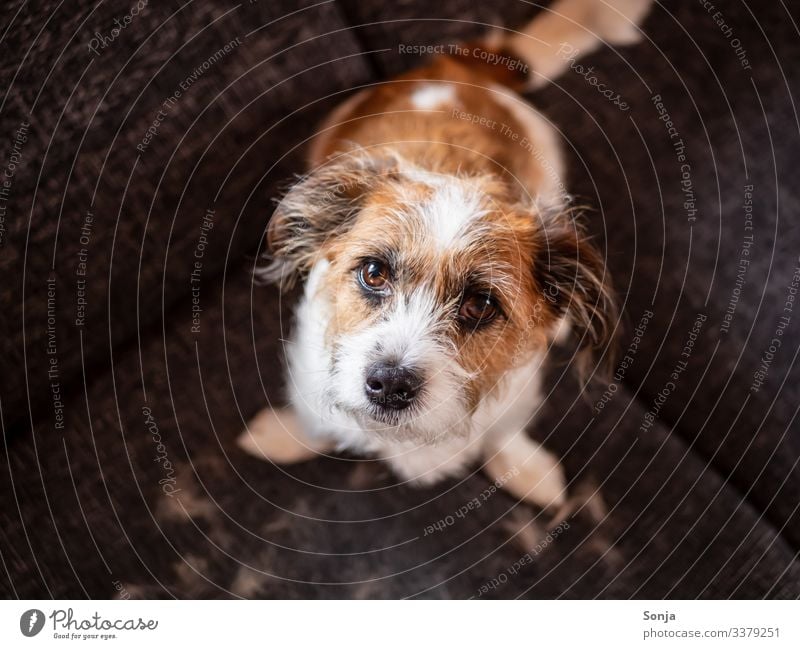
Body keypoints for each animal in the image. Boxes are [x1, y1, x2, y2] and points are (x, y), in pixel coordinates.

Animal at [241, 0, 652, 506]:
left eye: (481, 305)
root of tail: (452, 66)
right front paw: (281, 436)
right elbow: (314, 422)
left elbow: (502, 432)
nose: (389, 384)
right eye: (373, 273)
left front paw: (522, 467)